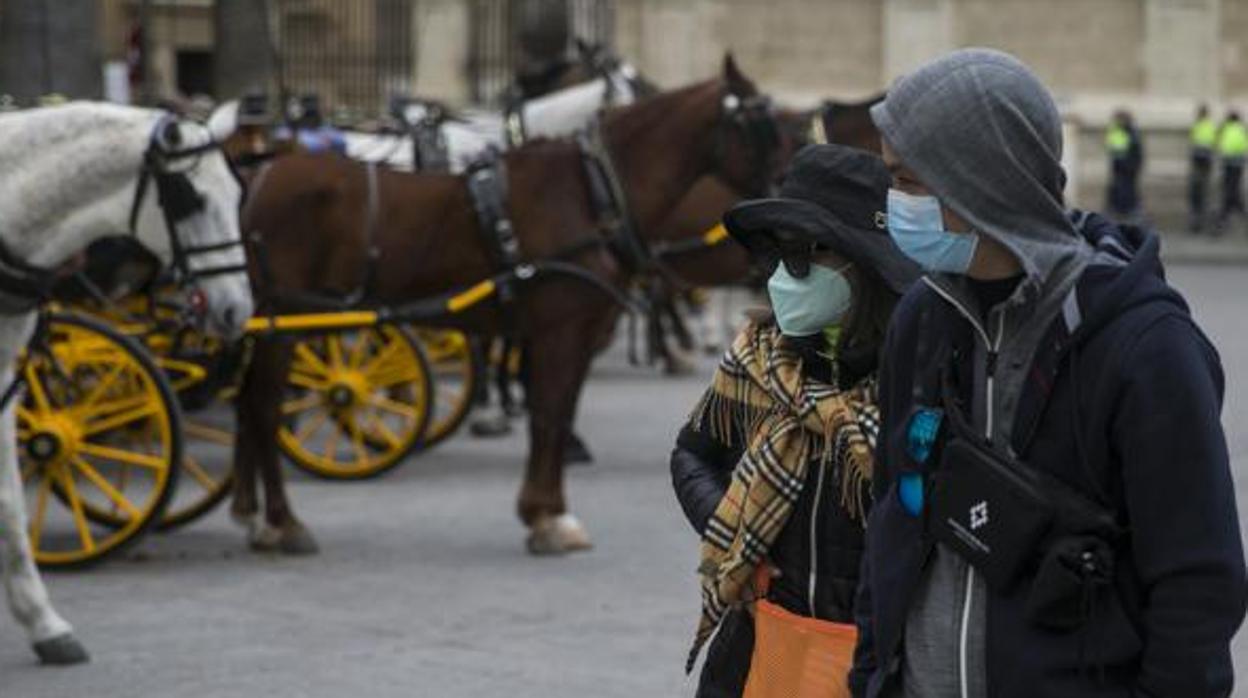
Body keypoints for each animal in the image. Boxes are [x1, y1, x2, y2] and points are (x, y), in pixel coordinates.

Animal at [232, 55, 778, 556]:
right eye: (763, 121)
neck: (590, 190)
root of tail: (262, 174)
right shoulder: (559, 330)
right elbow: (549, 414)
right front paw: (546, 516)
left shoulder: (574, 331)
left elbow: (558, 412)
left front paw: (547, 508)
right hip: (286, 321)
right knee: (262, 403)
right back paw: (282, 520)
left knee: (247, 399)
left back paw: (251, 513)